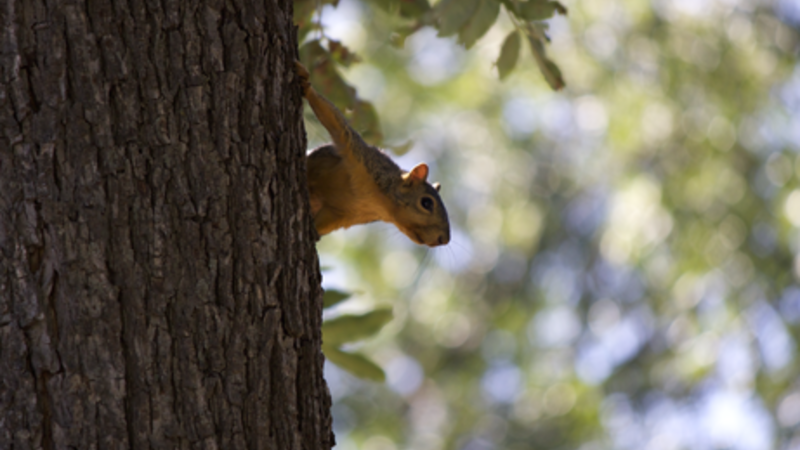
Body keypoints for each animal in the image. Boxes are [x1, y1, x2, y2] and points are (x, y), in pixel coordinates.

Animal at [296, 61, 450, 247]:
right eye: (426, 203)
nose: (444, 239)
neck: (379, 202)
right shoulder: (361, 155)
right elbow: (337, 124)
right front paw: (306, 84)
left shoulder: (342, 213)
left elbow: (326, 222)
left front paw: (314, 234)